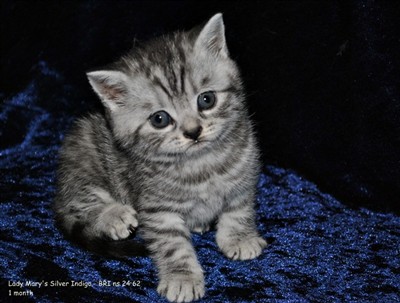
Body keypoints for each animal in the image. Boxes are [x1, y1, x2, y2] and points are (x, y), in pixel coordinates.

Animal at [53, 13, 266, 303]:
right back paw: (114, 214)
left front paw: (239, 237)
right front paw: (182, 277)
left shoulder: (245, 174)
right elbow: (172, 244)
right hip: (84, 156)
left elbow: (240, 208)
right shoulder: (157, 208)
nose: (193, 132)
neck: (201, 163)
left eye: (206, 100)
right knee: (81, 200)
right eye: (160, 119)